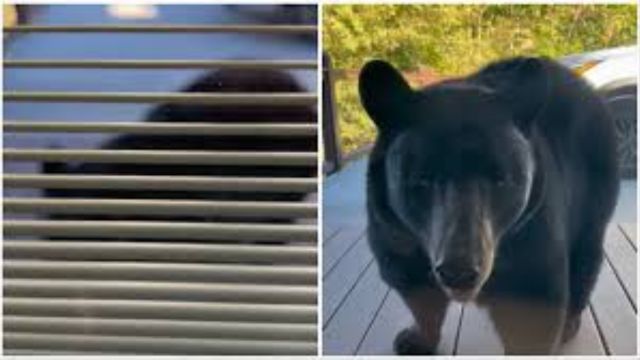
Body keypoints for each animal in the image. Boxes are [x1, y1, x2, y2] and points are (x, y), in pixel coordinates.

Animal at [358, 57, 616, 354]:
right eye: (422, 180)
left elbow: (534, 312)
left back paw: (570, 324)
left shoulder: (532, 233)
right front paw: (416, 339)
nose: (459, 272)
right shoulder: (395, 234)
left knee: (586, 256)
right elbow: (417, 294)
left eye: (500, 180)